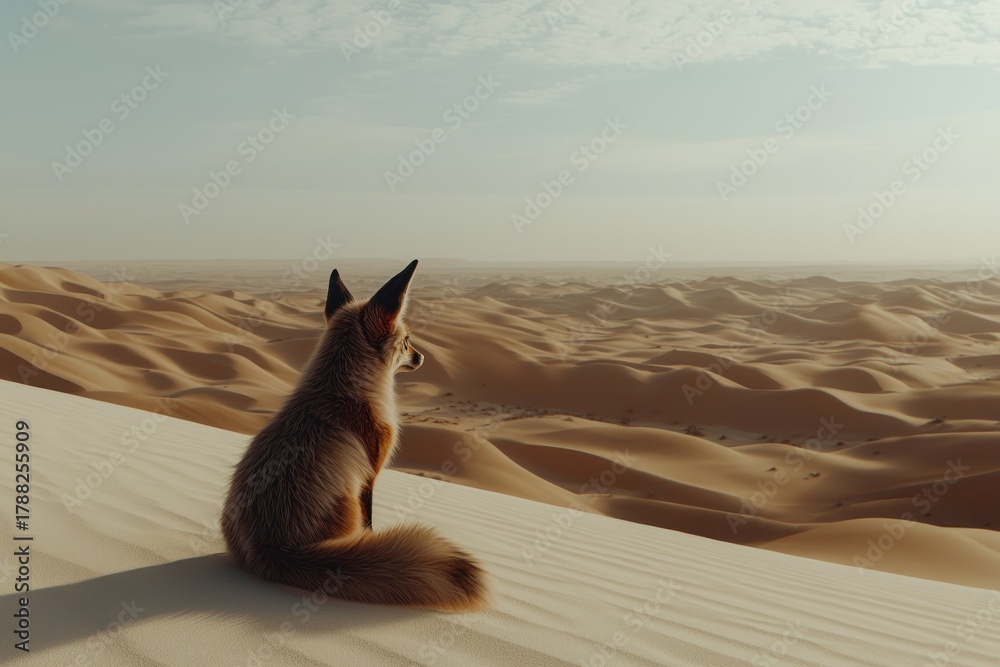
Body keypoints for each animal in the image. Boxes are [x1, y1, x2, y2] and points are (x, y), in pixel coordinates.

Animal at [221, 259, 488, 612]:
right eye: (407, 341)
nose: (422, 357)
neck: (343, 392)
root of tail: (273, 548)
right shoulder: (370, 477)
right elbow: (371, 525)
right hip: (347, 504)